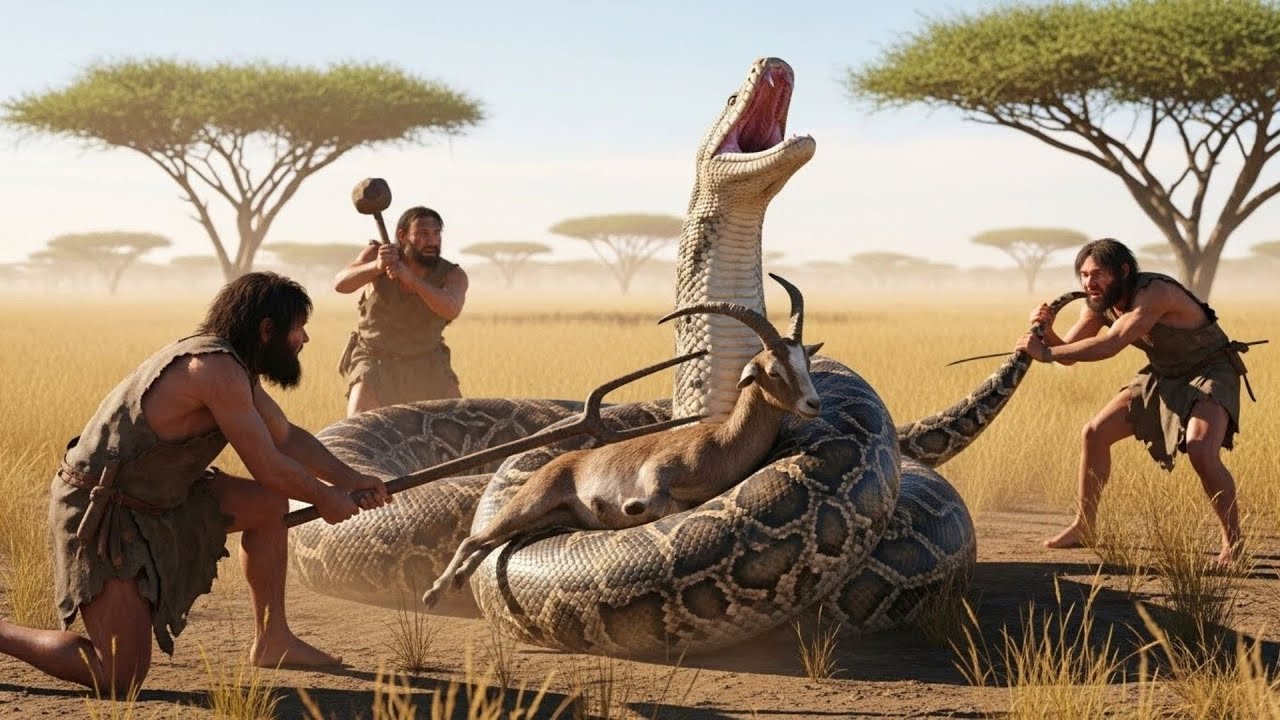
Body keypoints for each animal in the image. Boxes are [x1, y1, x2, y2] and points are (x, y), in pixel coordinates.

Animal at [421, 273, 824, 608]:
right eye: (774, 370)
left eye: (804, 363)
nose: (813, 404)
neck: (721, 444)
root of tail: (559, 463)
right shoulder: (657, 471)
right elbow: (657, 500)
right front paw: (625, 506)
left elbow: (669, 506)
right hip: (530, 505)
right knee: (475, 539)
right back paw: (434, 592)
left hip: (542, 518)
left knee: (490, 543)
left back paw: (457, 581)